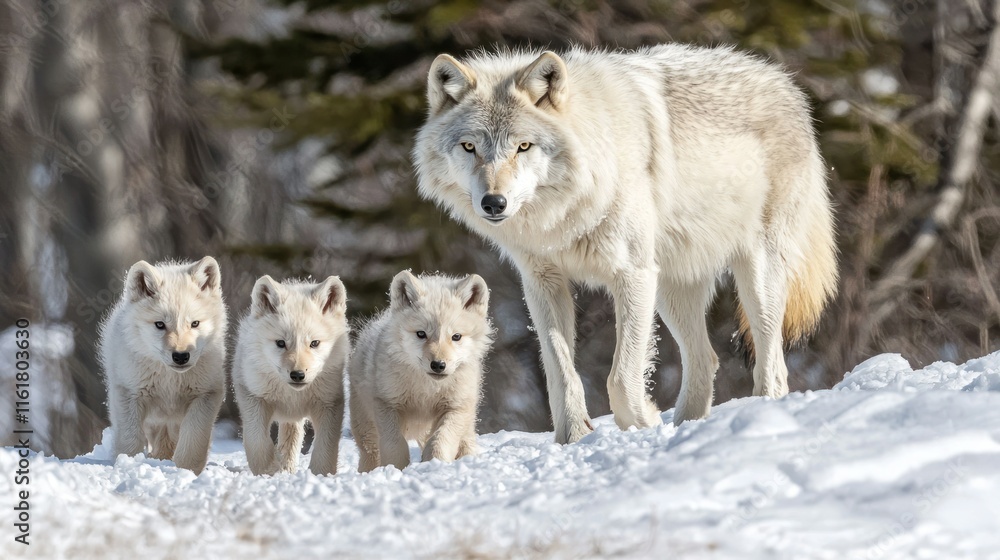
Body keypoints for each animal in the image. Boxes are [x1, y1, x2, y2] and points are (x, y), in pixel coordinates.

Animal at [99, 257, 227, 474]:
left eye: (195, 324)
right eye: (160, 325)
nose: (181, 356)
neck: (170, 380)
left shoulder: (207, 395)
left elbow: (193, 439)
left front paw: (187, 471)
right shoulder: (128, 393)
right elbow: (129, 440)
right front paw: (127, 464)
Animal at [232, 275, 349, 476]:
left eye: (314, 343)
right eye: (281, 343)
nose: (298, 375)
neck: (292, 395)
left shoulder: (329, 402)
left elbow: (326, 446)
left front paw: (320, 474)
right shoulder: (253, 397)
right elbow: (257, 440)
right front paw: (269, 470)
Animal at [349, 271, 493, 472]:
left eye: (456, 336)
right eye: (421, 334)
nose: (438, 365)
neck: (427, 389)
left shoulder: (455, 407)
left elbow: (440, 440)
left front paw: (435, 464)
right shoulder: (387, 405)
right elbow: (395, 445)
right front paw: (395, 469)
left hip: (464, 421)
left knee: (464, 443)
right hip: (366, 428)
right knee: (371, 452)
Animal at [413, 45, 838, 444]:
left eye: (523, 147)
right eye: (469, 147)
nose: (494, 203)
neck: (563, 214)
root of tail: (786, 83)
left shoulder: (632, 275)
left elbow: (620, 377)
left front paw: (642, 422)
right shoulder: (542, 283)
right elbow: (561, 373)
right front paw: (575, 438)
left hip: (754, 278)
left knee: (772, 361)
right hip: (672, 289)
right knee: (706, 359)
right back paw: (687, 428)